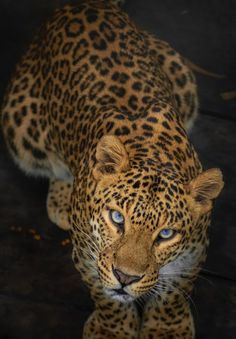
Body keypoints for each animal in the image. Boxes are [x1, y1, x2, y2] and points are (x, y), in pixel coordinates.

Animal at [0, 1, 224, 338]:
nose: (126, 277)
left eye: (165, 234)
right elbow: (107, 297)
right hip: (20, 121)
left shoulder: (193, 253)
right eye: (117, 219)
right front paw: (112, 330)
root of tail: (88, 5)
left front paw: (167, 329)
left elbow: (174, 292)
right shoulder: (88, 253)